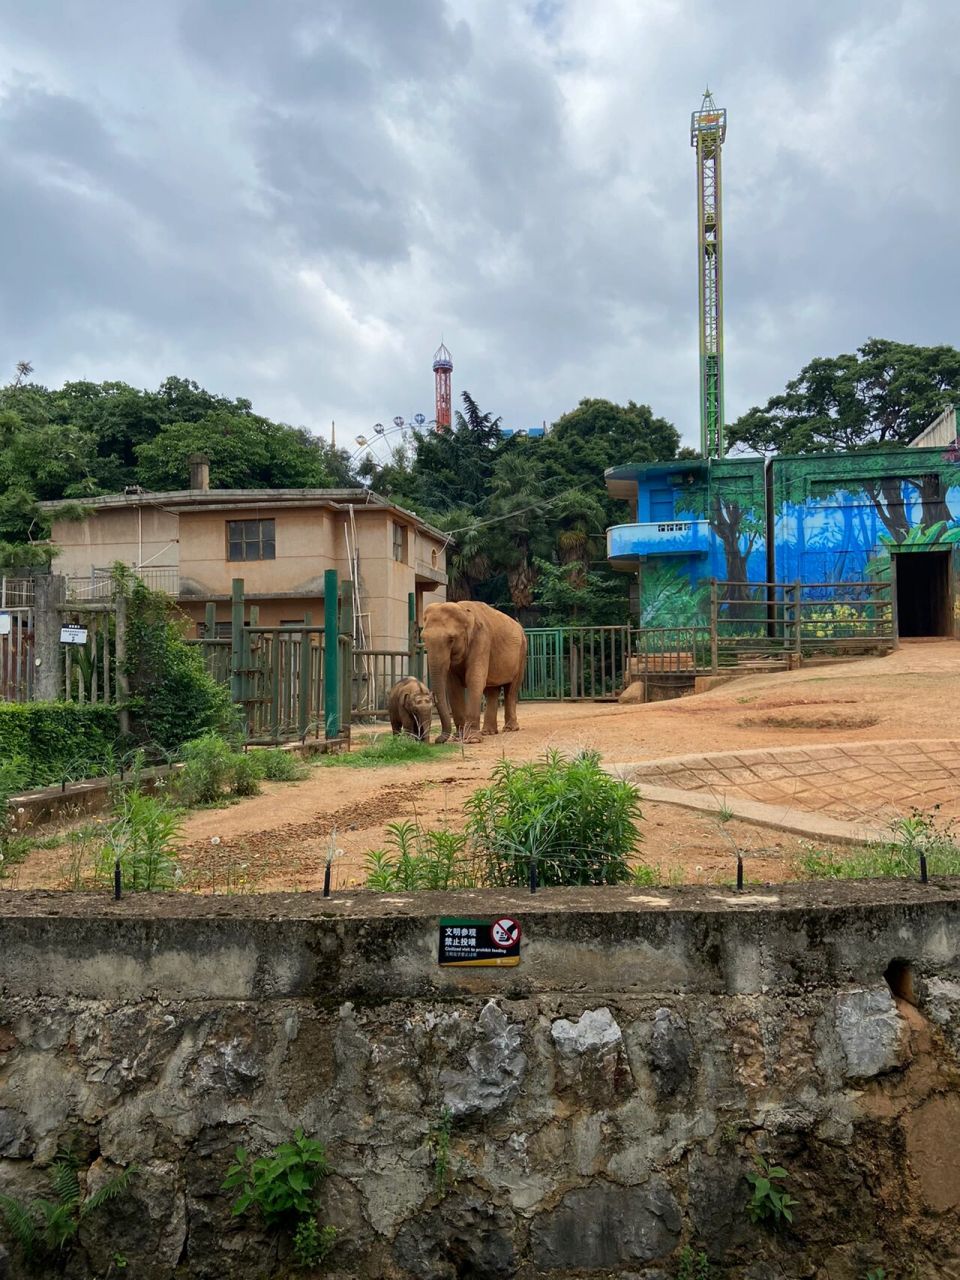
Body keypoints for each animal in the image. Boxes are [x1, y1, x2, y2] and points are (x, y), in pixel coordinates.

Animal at [419, 596, 527, 742]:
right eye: (423, 638)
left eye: (451, 639)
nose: (437, 740)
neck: (463, 611)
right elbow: (452, 685)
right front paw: (459, 738)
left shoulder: (481, 639)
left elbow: (474, 679)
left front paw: (472, 740)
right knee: (491, 691)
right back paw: (488, 732)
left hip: (522, 653)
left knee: (511, 689)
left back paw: (509, 729)